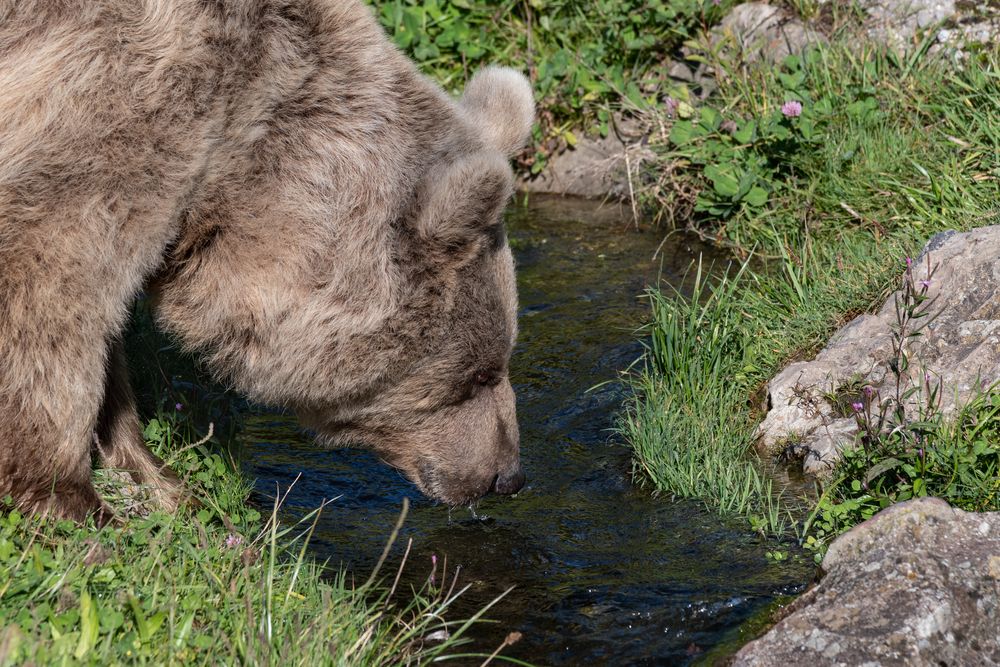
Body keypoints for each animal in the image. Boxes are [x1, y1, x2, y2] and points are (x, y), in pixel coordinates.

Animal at [0, 0, 536, 520]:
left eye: (501, 360)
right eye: (480, 374)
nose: (507, 476)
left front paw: (161, 479)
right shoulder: (110, 96)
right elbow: (52, 278)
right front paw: (70, 496)